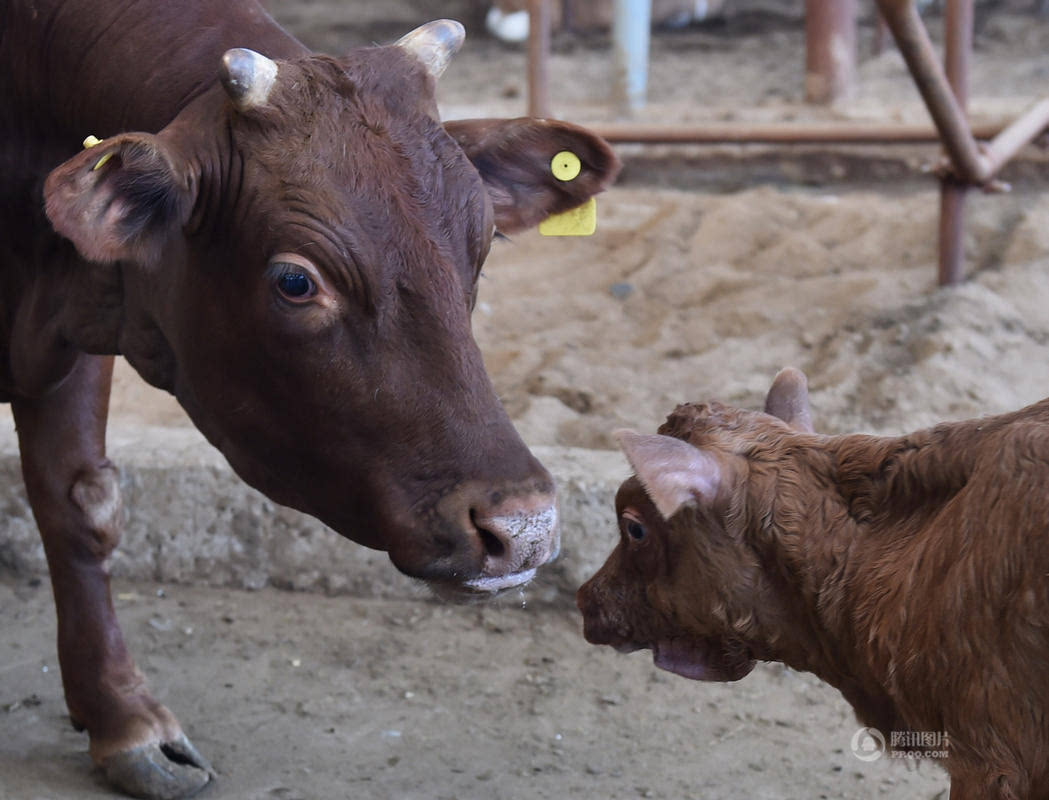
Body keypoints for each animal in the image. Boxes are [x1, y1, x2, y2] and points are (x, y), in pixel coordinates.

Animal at [0, 3, 616, 796]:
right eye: (296, 281)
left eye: (480, 248)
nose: (526, 526)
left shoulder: (73, 333)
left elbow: (81, 507)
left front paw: (122, 720)